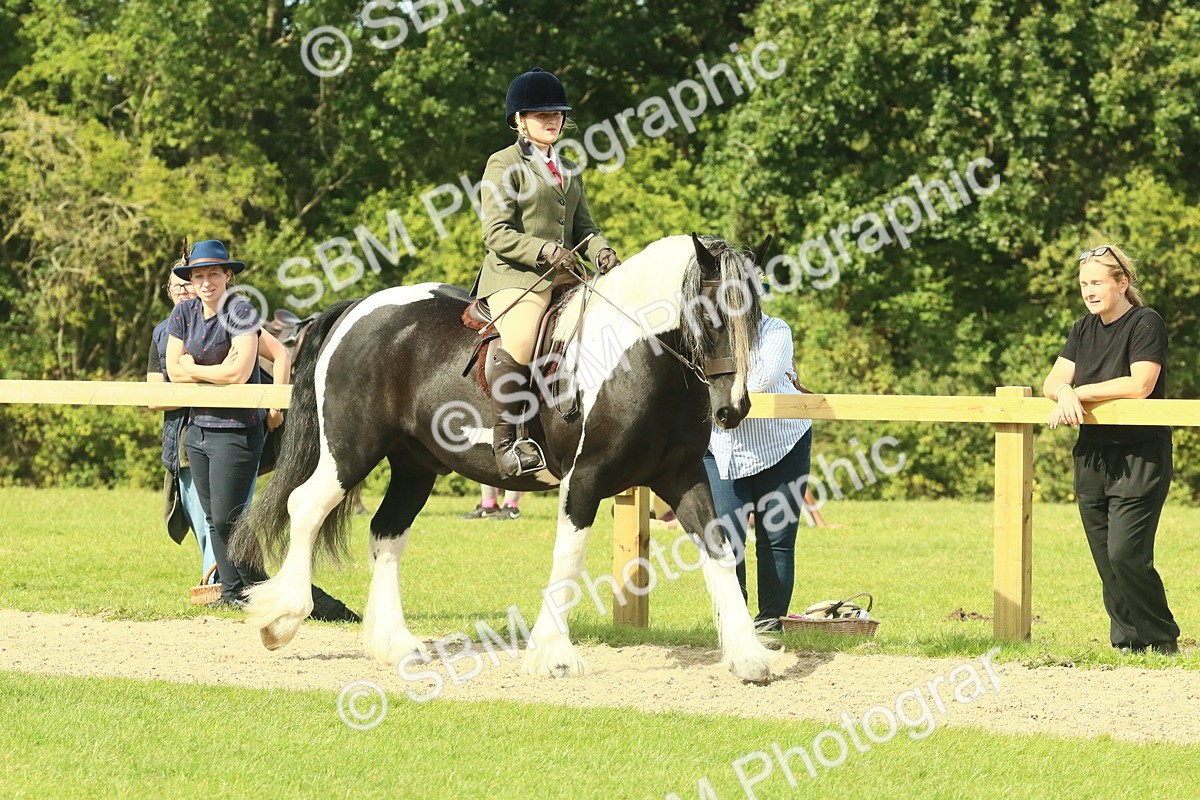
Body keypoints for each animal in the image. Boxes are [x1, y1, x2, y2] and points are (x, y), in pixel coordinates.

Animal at [232, 233, 777, 682]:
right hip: (350, 450)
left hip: (414, 466)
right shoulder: (585, 479)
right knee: (305, 506)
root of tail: (358, 309)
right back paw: (281, 621)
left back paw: (396, 644)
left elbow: (719, 549)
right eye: (709, 313)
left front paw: (749, 657)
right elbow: (569, 558)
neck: (637, 361)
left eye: (755, 318)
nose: (733, 409)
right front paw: (556, 656)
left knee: (386, 533)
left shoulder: (682, 477)